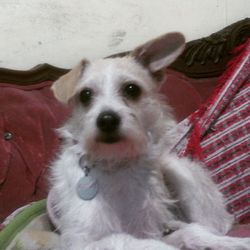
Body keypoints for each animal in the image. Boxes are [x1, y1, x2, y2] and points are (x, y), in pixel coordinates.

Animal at [48, 33, 250, 250]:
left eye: (131, 89)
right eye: (85, 94)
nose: (107, 120)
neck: (115, 163)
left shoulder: (150, 228)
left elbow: (187, 233)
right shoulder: (81, 240)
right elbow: (126, 239)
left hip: (178, 171)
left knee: (211, 225)